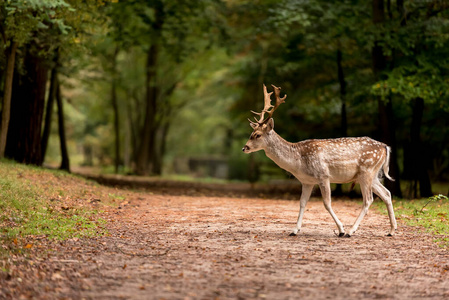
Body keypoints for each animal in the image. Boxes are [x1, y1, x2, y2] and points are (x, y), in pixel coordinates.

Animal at [242, 84, 396, 237]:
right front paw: (294, 230)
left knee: (368, 199)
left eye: (257, 135)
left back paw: (350, 231)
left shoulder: (323, 175)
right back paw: (391, 230)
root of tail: (385, 147)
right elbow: (302, 203)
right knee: (387, 194)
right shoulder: (307, 181)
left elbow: (327, 203)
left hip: (367, 170)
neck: (298, 162)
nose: (244, 148)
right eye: (251, 133)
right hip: (372, 175)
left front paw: (341, 229)